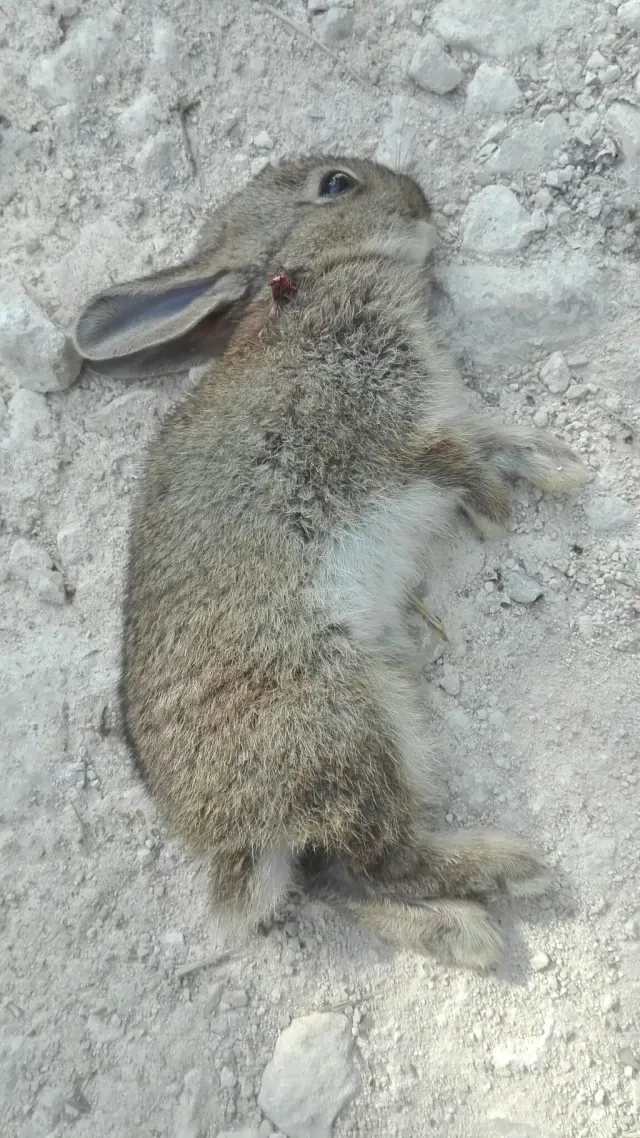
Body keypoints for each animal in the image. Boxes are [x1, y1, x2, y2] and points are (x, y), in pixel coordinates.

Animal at [73, 156, 588, 969]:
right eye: (337, 184)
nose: (421, 201)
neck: (314, 280)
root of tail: (237, 838)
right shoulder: (370, 435)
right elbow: (451, 458)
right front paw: (495, 511)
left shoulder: (433, 416)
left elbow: (486, 436)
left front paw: (557, 464)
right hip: (344, 719)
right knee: (379, 859)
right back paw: (504, 875)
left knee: (341, 882)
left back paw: (454, 927)